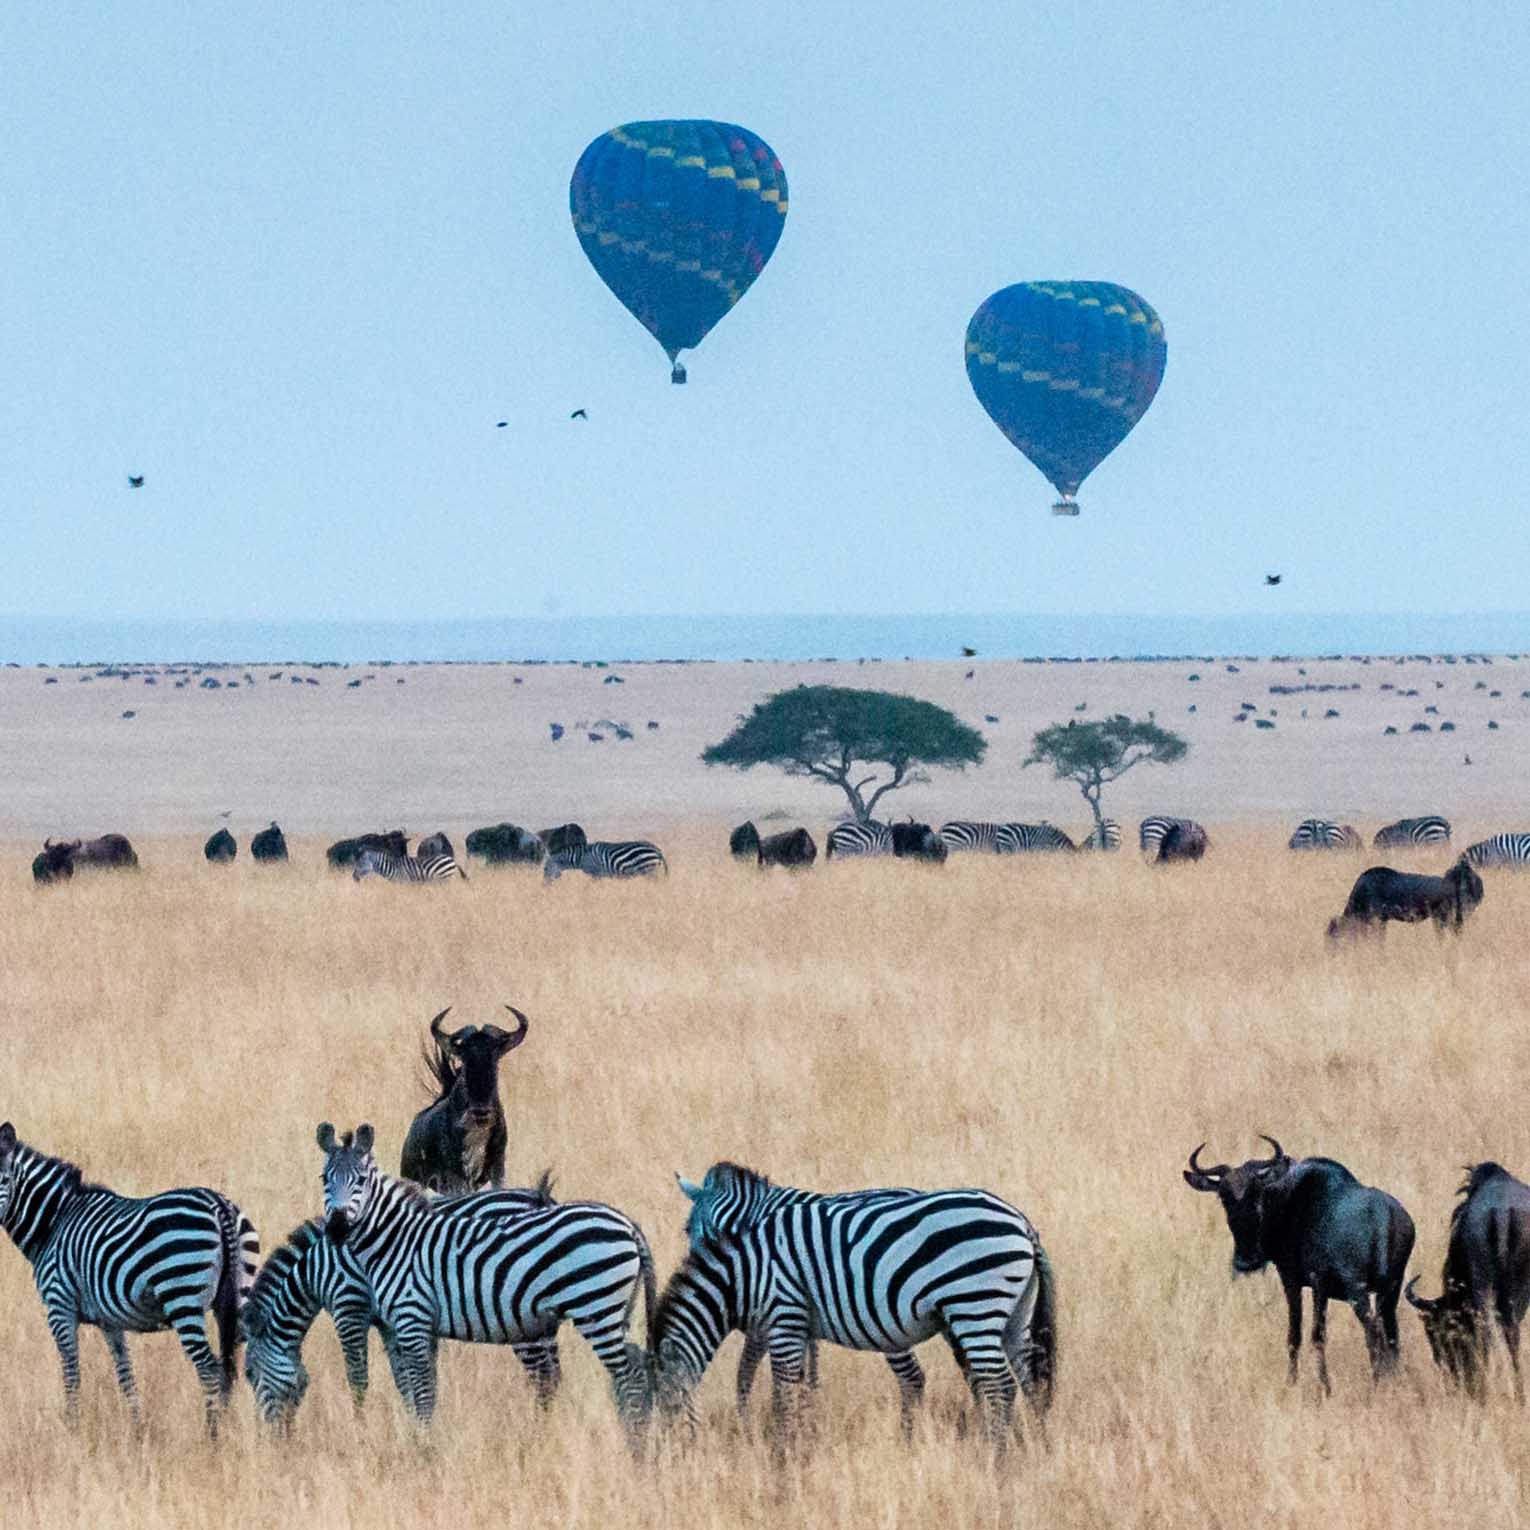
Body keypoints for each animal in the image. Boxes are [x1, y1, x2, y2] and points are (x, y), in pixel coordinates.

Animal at [0, 1126, 260, 1432]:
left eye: (4, 1179)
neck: (54, 1221)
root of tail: (219, 1206)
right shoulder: (109, 1320)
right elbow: (125, 1373)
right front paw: (137, 1429)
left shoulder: (59, 1306)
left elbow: (71, 1371)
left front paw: (73, 1427)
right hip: (238, 1295)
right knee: (236, 1364)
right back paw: (231, 1428)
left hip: (182, 1295)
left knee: (210, 1368)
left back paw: (212, 1433)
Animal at [244, 1181, 563, 1419]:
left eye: (249, 1375)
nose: (271, 1441)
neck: (316, 1267)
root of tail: (539, 1197)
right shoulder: (390, 1320)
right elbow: (404, 1379)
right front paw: (413, 1423)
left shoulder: (349, 1306)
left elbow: (357, 1377)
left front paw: (360, 1427)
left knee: (544, 1377)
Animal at [319, 1126, 654, 1432]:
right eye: (324, 1179)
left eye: (361, 1180)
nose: (337, 1228)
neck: (396, 1239)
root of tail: (629, 1225)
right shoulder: (408, 1325)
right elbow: (416, 1387)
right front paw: (416, 1433)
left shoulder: (391, 1314)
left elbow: (393, 1384)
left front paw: (410, 1440)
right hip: (604, 1312)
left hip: (592, 1307)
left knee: (627, 1377)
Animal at [651, 1162, 1058, 1438]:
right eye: (688, 1230)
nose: (700, 1259)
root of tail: (1023, 1224)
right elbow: (795, 1371)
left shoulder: (780, 1304)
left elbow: (756, 1370)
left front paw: (765, 1422)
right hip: (1001, 1313)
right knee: (1018, 1377)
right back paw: (1030, 1443)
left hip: (965, 1304)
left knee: (967, 1379)